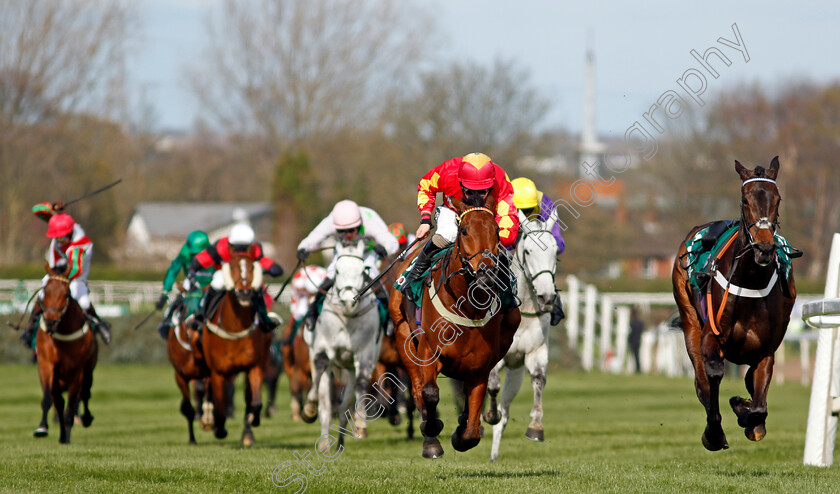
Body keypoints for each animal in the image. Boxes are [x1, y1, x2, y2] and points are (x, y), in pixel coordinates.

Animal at [33, 262, 97, 444]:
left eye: (66, 294)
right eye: (45, 292)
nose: (50, 321)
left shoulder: (76, 369)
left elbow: (73, 402)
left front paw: (67, 435)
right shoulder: (46, 364)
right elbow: (48, 398)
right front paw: (42, 428)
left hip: (88, 369)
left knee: (84, 393)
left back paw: (84, 419)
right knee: (59, 401)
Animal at [392, 195, 520, 458]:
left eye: (496, 231)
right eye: (464, 230)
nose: (486, 273)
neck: (467, 307)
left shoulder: (480, 366)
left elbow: (471, 428)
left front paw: (461, 433)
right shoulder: (429, 351)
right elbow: (430, 393)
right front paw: (432, 433)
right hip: (403, 336)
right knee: (417, 388)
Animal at [486, 213, 556, 464]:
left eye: (555, 250)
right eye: (528, 251)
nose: (547, 296)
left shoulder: (536, 352)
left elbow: (539, 380)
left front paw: (536, 427)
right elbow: (492, 385)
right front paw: (490, 414)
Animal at [668, 158, 800, 452]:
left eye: (777, 199)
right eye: (745, 199)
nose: (764, 248)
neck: (750, 280)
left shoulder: (766, 350)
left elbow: (758, 403)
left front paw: (747, 414)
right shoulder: (711, 335)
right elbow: (714, 375)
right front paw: (715, 432)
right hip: (690, 321)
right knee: (702, 381)